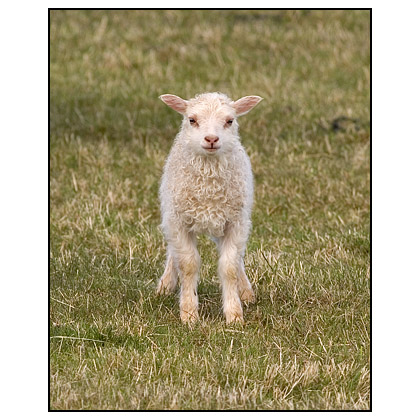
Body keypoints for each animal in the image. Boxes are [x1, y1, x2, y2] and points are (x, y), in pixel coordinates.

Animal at [157, 92, 262, 324]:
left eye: (230, 121)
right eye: (192, 120)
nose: (212, 139)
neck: (208, 188)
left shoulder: (235, 222)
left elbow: (229, 266)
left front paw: (234, 314)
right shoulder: (179, 221)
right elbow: (188, 264)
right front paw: (189, 314)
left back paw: (245, 291)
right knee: (173, 252)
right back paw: (166, 284)